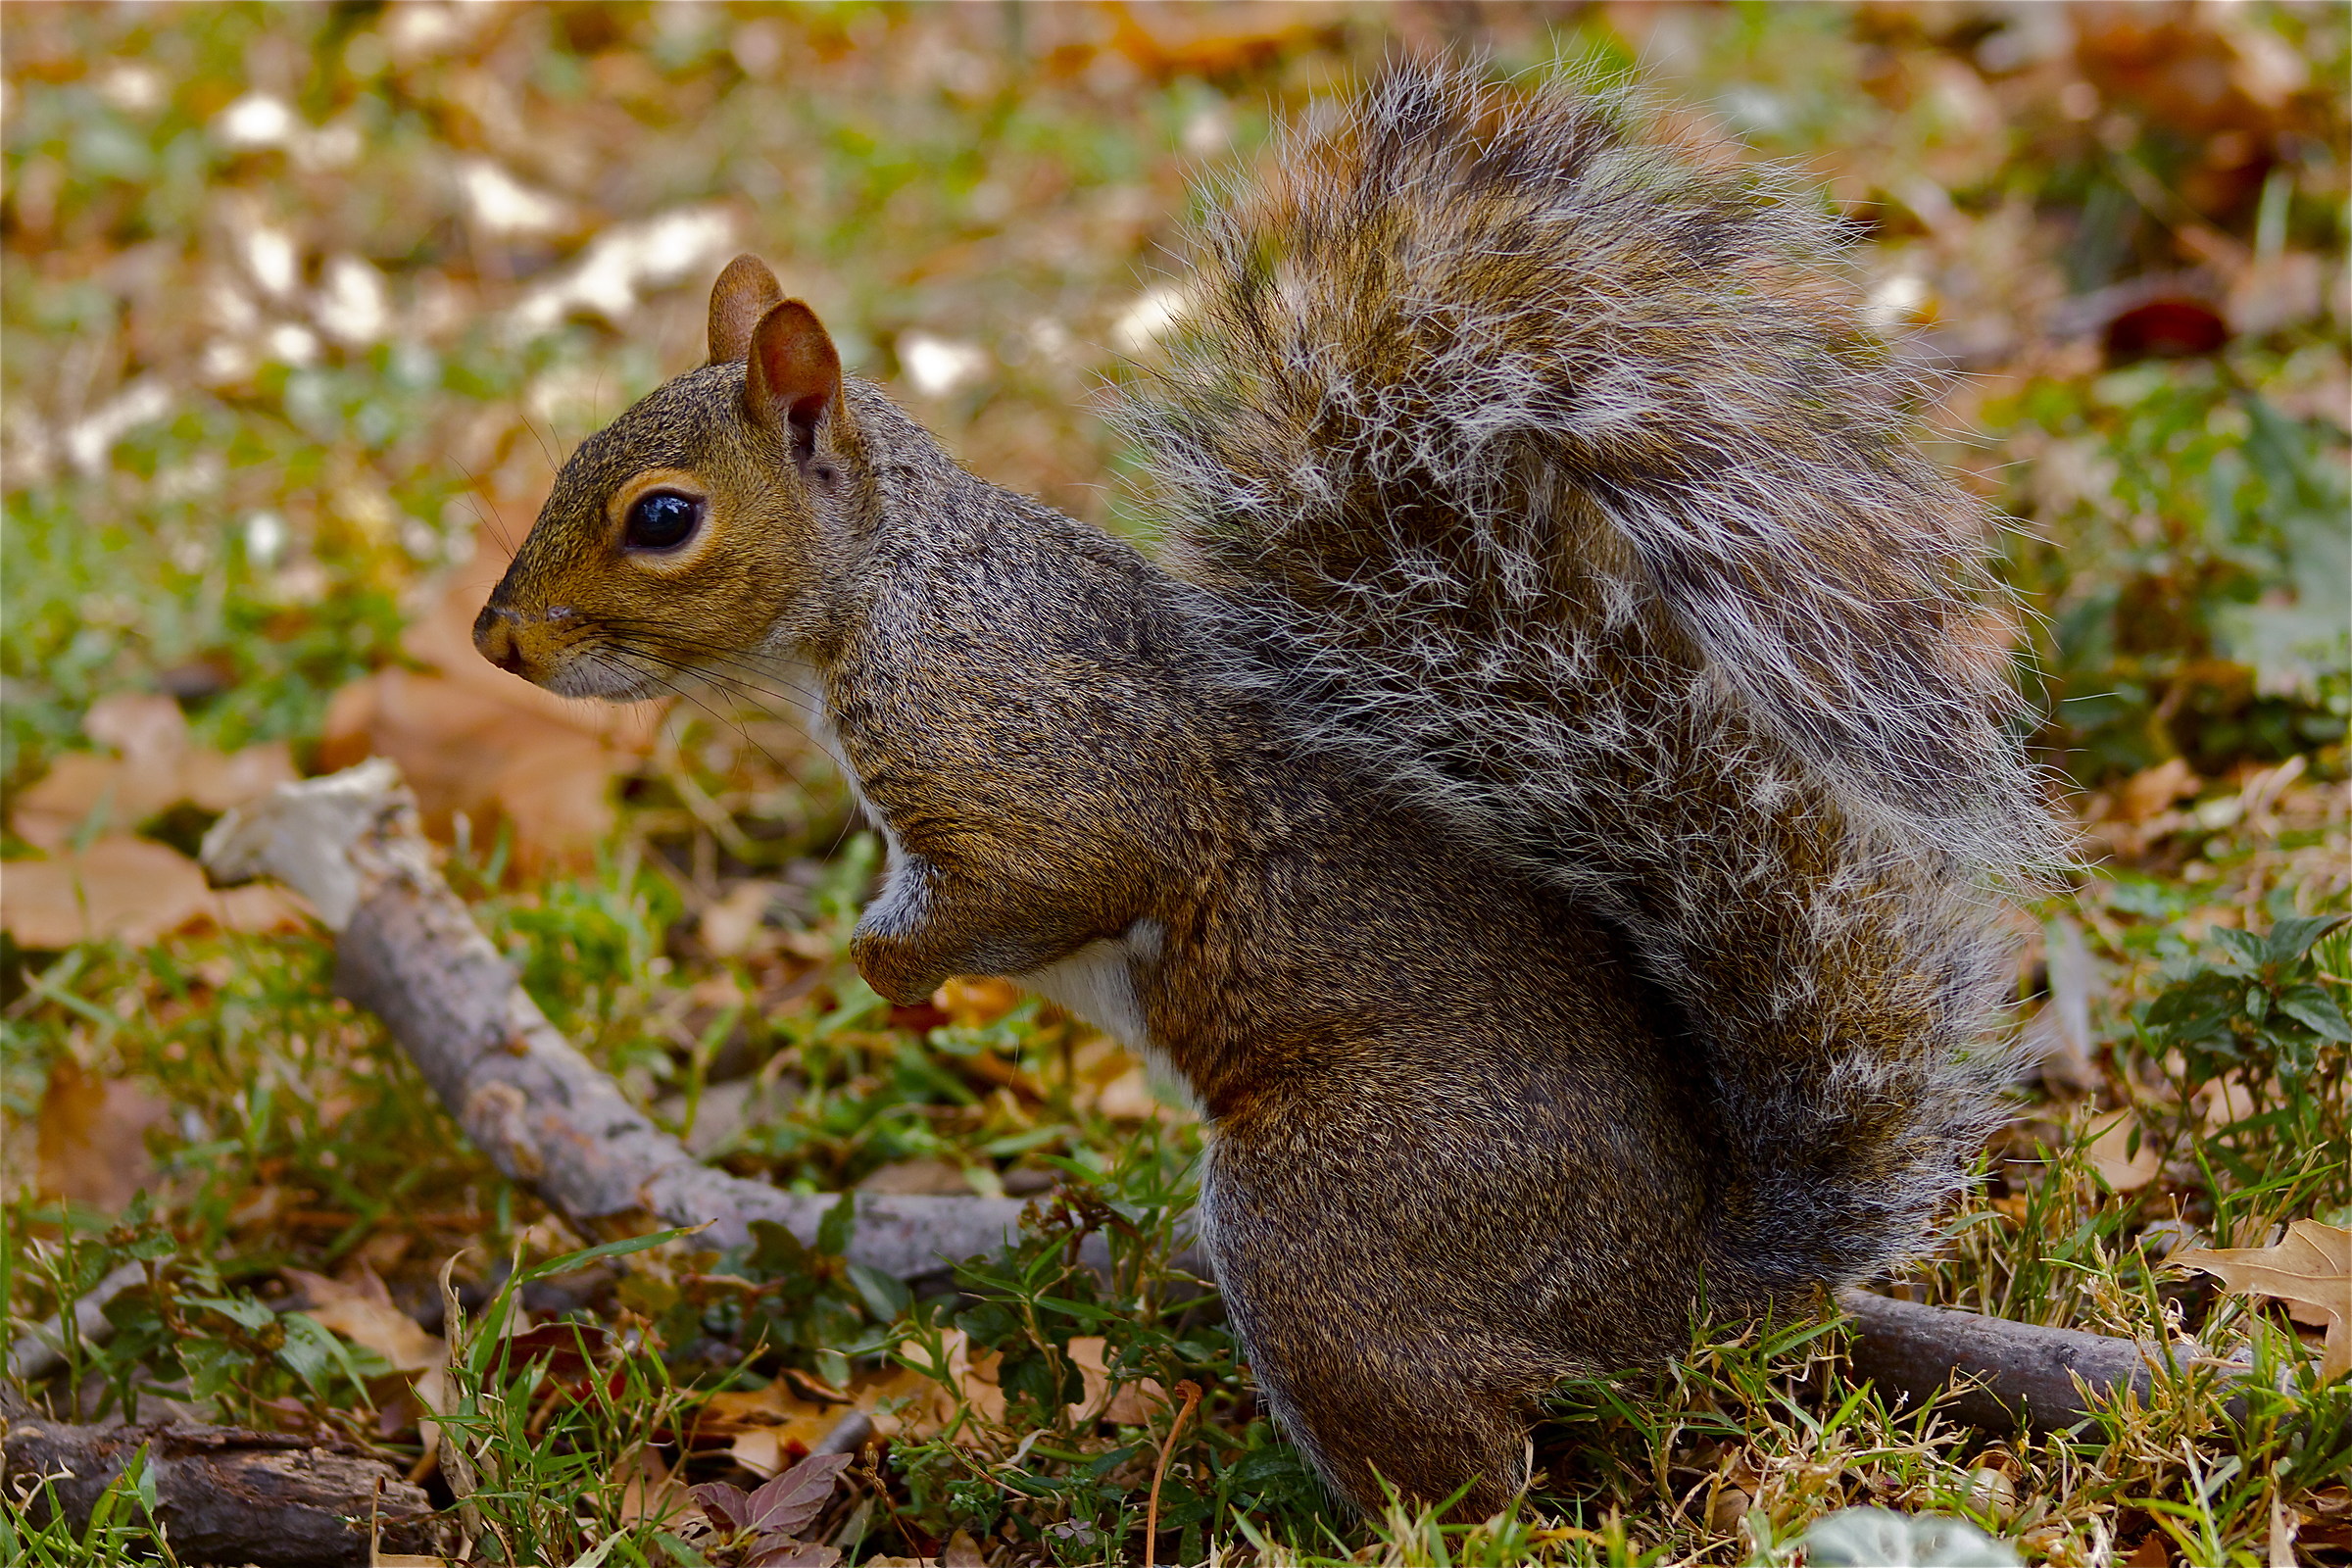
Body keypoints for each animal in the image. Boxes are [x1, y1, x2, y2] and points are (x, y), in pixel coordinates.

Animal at [475, 63, 2058, 1518]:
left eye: (663, 519)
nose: (499, 640)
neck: (884, 590)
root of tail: (1670, 1300)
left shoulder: (1031, 763)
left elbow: (1047, 880)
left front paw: (888, 974)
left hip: (1336, 1221)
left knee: (1470, 1469)